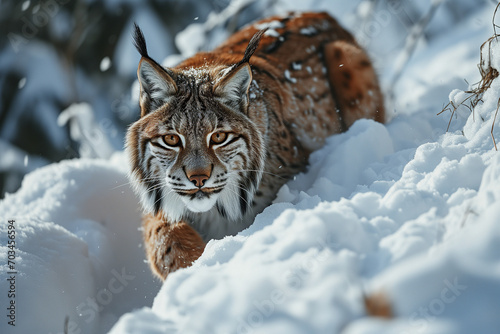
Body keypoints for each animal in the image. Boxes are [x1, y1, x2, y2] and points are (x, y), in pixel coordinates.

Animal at [125, 11, 382, 280]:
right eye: (172, 140)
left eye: (219, 137)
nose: (198, 179)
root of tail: (319, 13)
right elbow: (163, 239)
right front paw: (197, 266)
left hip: (345, 56)